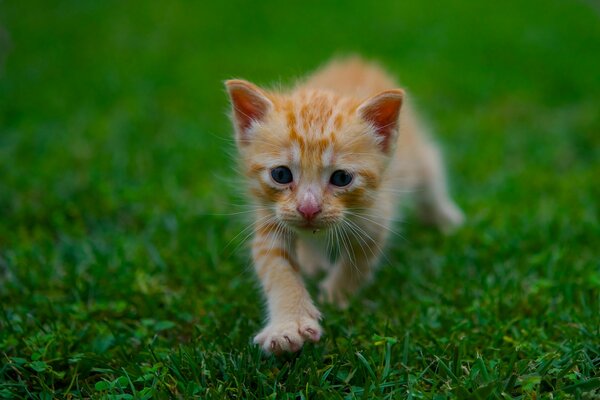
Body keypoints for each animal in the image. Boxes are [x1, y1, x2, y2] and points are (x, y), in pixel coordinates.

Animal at [225, 56, 464, 354]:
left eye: (341, 178)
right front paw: (288, 325)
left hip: (416, 154)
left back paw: (444, 216)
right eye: (281, 174)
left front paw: (335, 296)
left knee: (431, 169)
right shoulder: (270, 218)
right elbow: (277, 269)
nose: (308, 209)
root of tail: (355, 61)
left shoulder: (376, 214)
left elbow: (358, 262)